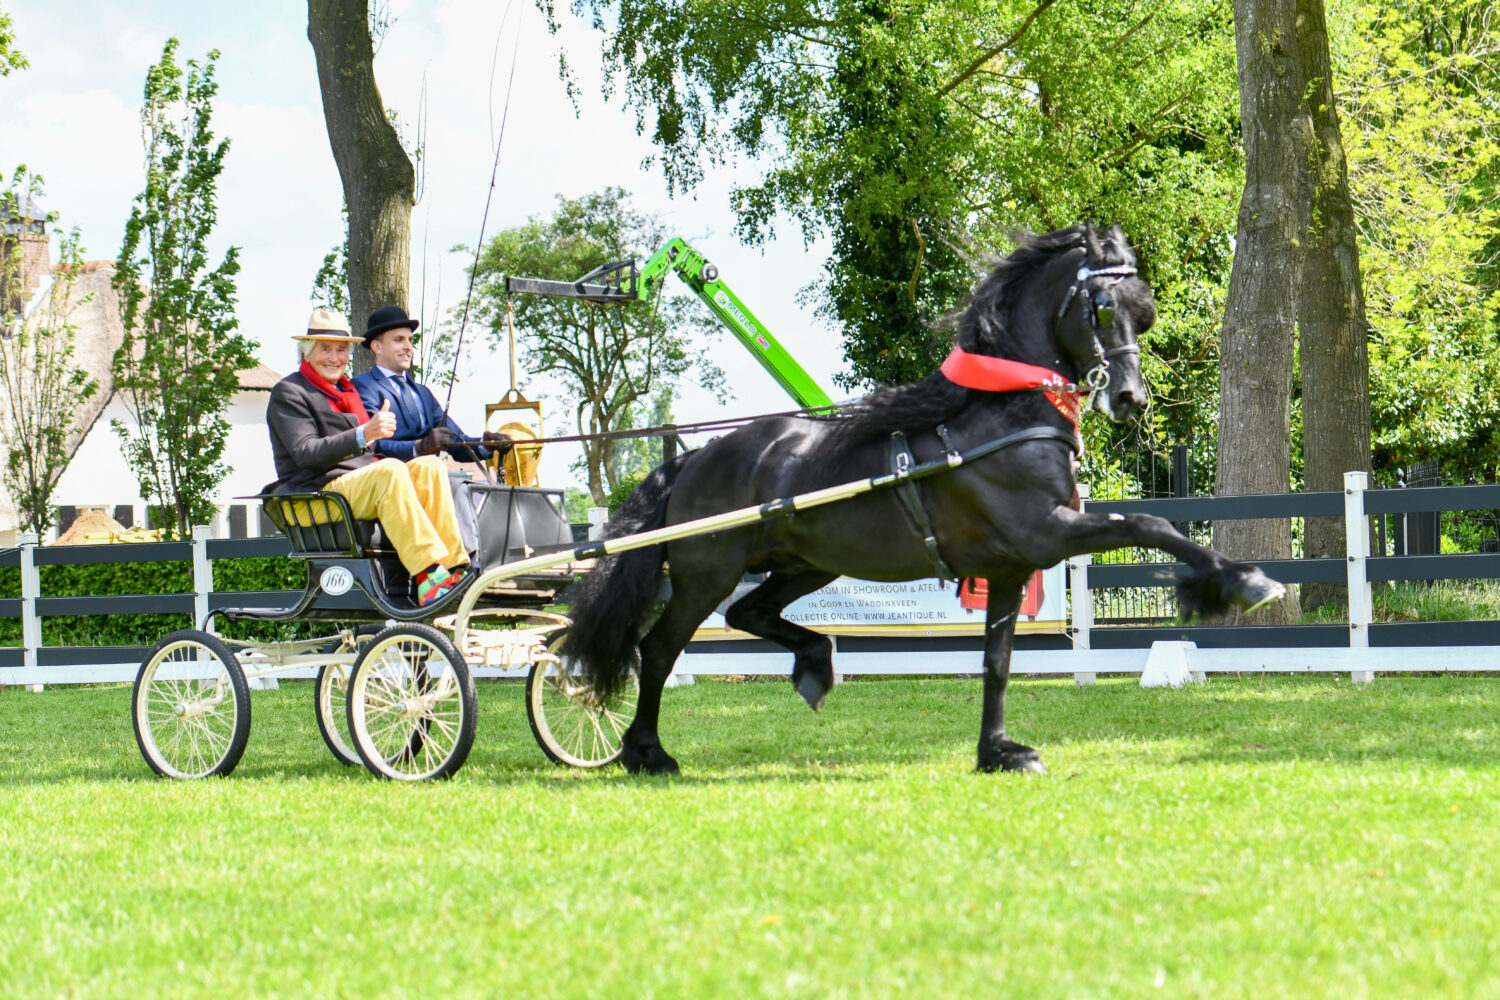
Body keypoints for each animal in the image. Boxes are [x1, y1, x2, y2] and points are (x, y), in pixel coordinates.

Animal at [561, 224, 1278, 773]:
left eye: (1144, 309)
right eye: (1103, 306)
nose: (1130, 398)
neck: (1004, 412)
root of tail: (693, 459)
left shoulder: (1011, 567)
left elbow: (997, 662)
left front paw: (997, 753)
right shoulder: (1046, 532)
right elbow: (1153, 522)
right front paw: (1245, 582)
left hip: (807, 564)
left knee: (748, 614)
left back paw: (814, 665)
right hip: (707, 572)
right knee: (658, 650)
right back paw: (647, 752)